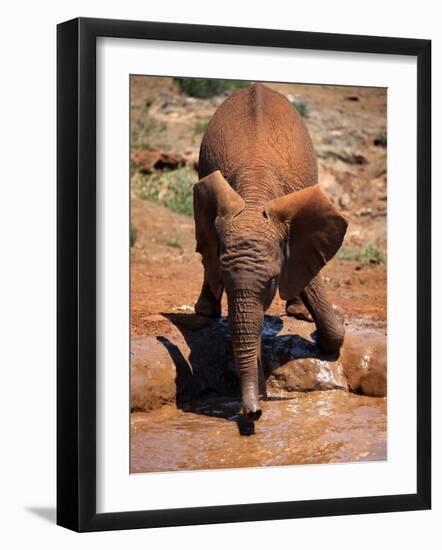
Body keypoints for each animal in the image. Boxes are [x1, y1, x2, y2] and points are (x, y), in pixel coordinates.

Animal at [193, 84, 348, 422]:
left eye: (271, 284)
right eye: (226, 282)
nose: (252, 412)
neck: (253, 200)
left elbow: (310, 279)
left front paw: (322, 332)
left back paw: (300, 313)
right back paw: (205, 311)